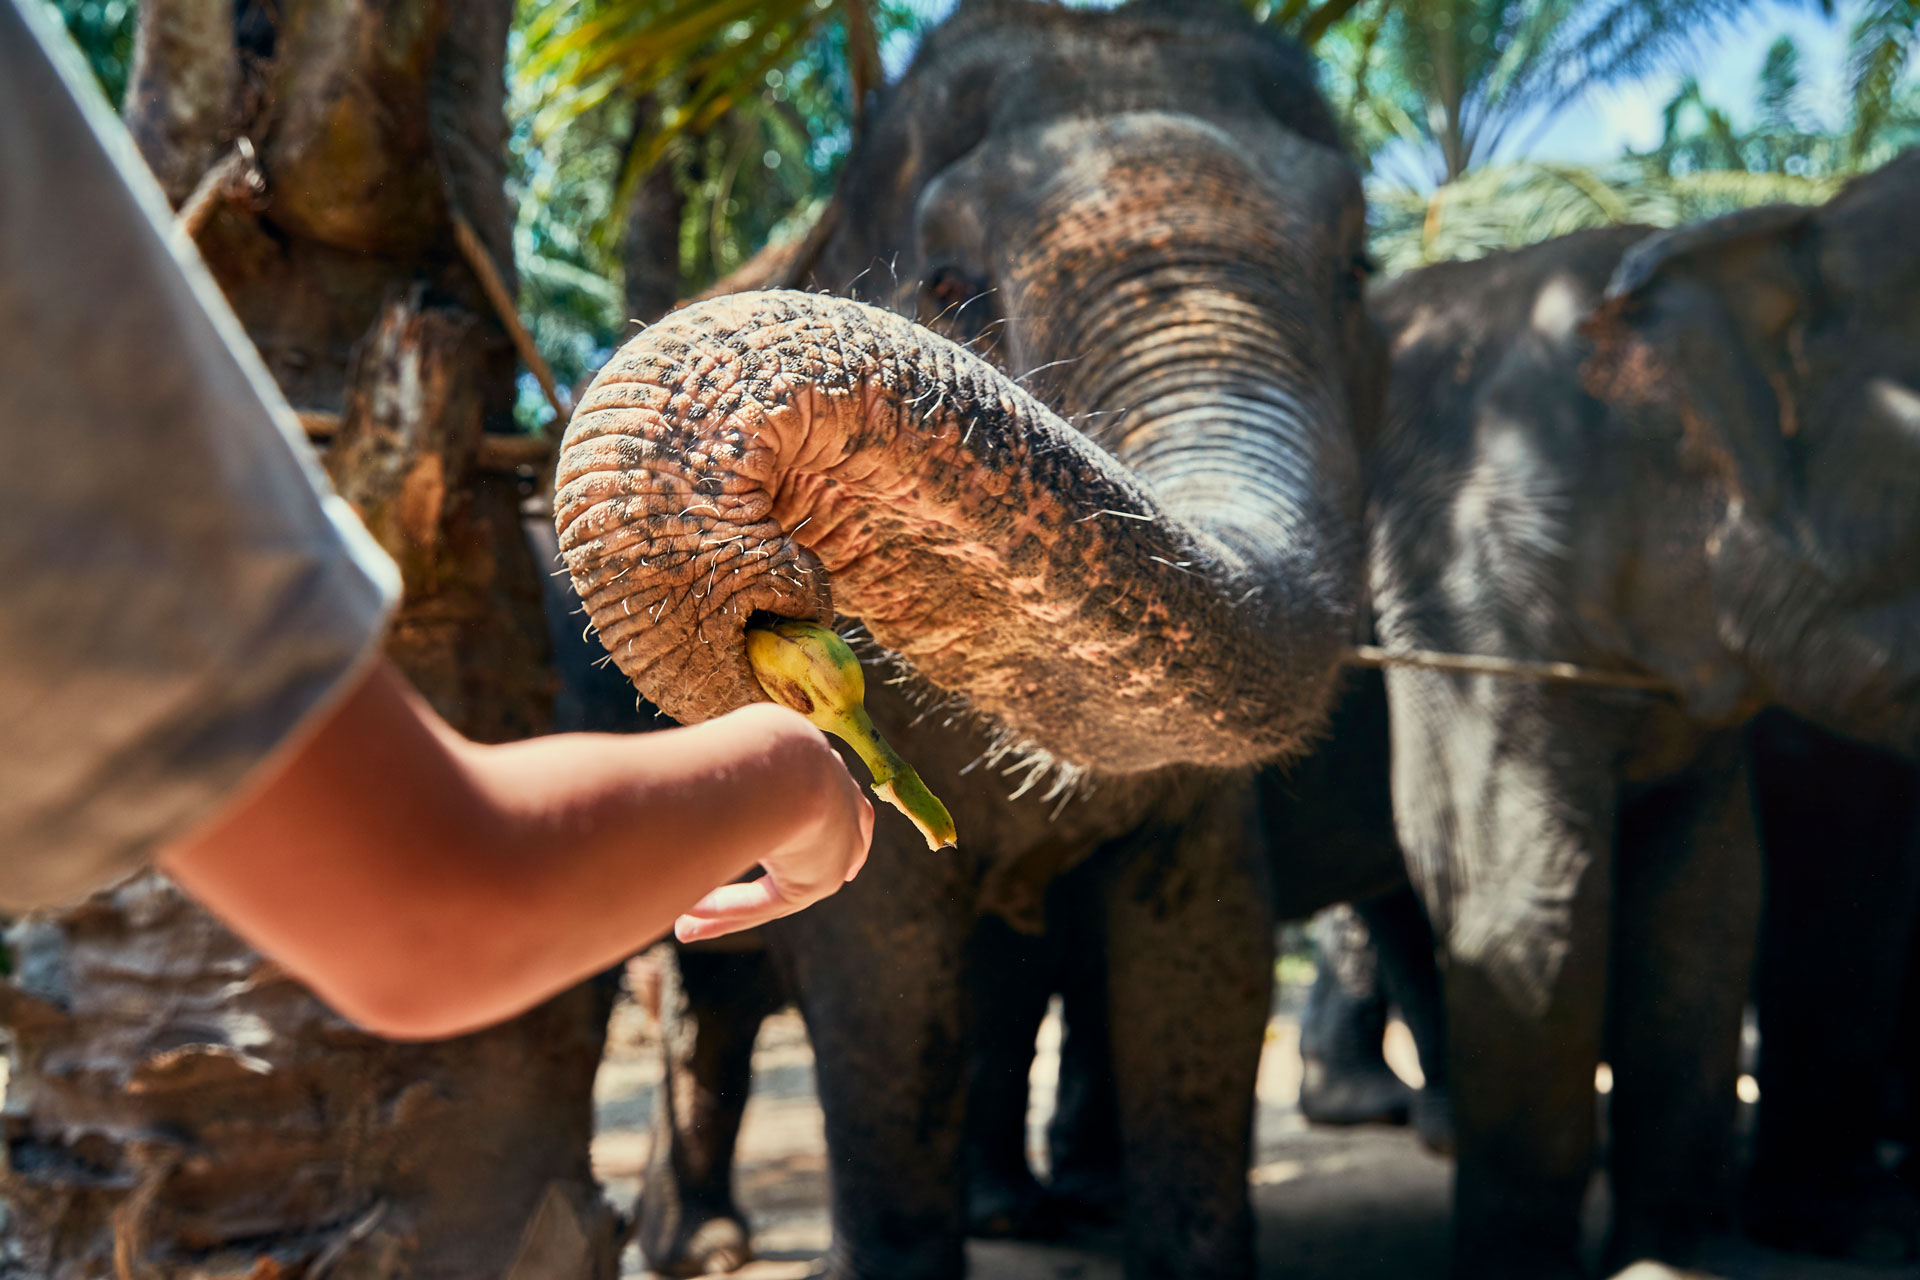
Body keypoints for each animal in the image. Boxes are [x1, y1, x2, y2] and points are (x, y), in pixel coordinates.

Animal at [549, 2, 1383, 1275]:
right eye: (947, 278)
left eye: (1358, 268)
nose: (774, 579)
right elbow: (886, 983)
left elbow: (1209, 952)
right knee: (685, 992)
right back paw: (701, 1243)